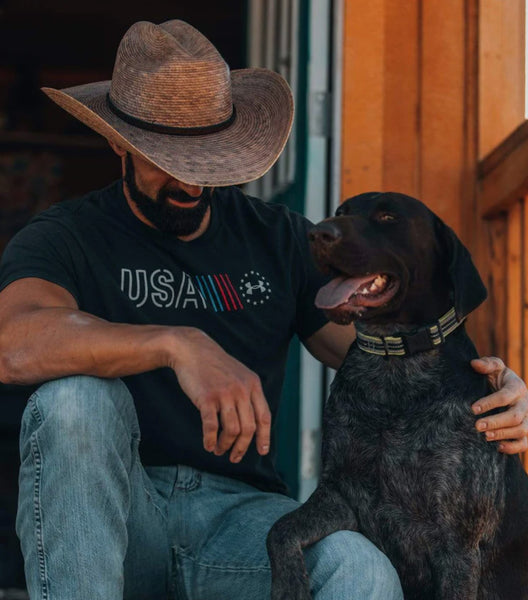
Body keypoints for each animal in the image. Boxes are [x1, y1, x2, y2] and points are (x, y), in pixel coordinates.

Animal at [266, 192, 528, 600]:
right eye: (341, 212)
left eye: (389, 217)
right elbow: (280, 529)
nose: (318, 233)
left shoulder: (457, 546)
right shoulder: (340, 496)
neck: (395, 367)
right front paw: (290, 585)